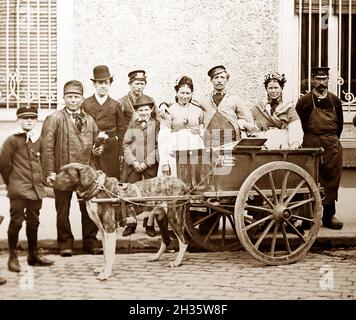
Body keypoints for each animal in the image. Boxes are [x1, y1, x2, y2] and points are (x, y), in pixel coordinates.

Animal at [53, 162, 191, 280]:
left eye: (67, 173)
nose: (51, 178)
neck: (97, 188)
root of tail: (181, 183)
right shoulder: (103, 230)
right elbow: (105, 253)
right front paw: (103, 269)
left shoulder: (109, 229)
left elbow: (109, 254)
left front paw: (106, 274)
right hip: (161, 216)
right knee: (166, 240)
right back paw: (156, 257)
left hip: (174, 216)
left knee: (184, 242)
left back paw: (177, 262)